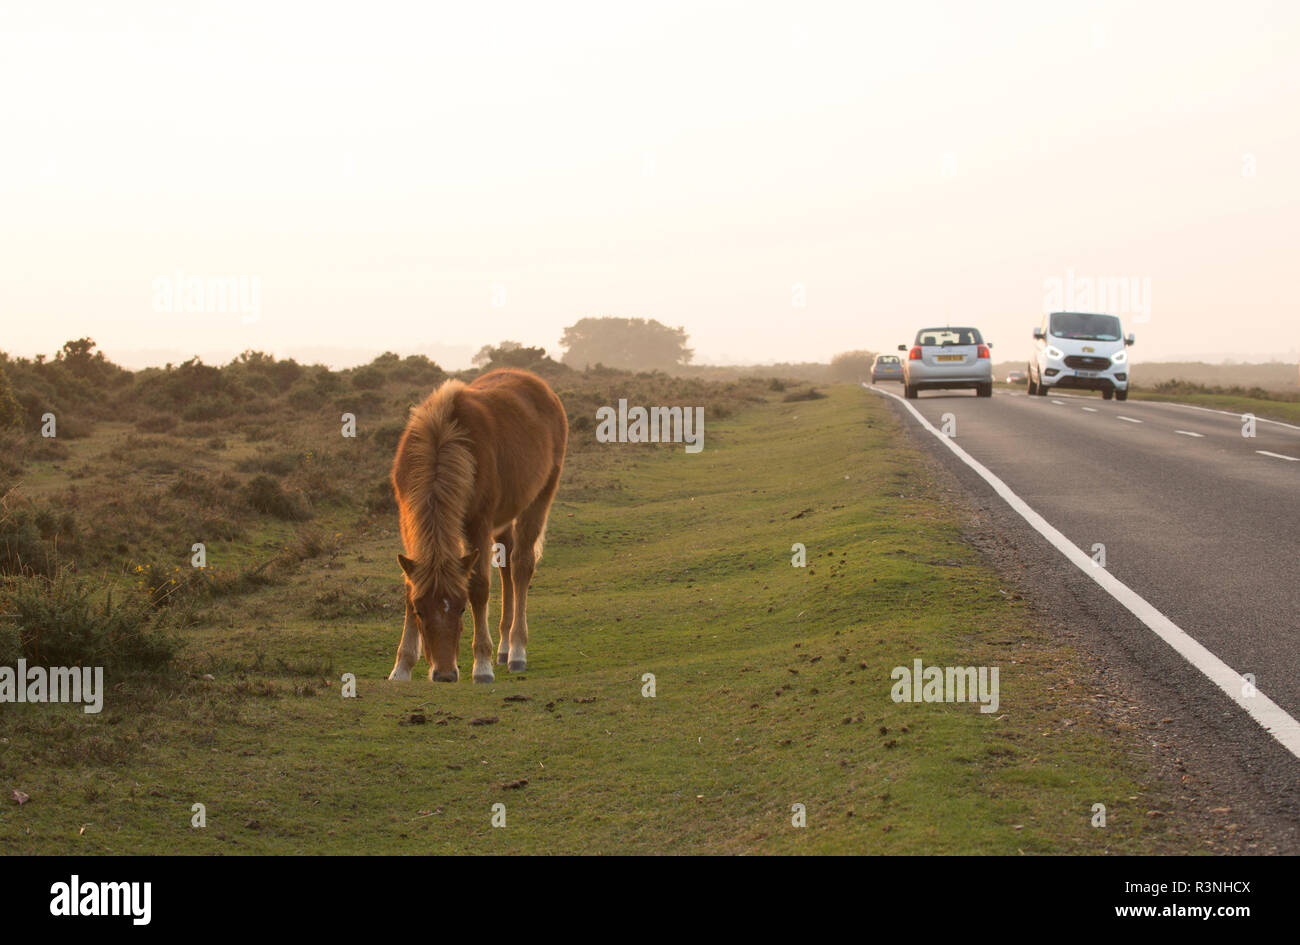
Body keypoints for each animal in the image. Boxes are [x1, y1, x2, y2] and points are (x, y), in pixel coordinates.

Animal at [387, 368, 567, 683]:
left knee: (521, 567)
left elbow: (480, 587)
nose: (444, 674)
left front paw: (481, 665)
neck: (442, 440)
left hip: (539, 498)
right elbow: (409, 586)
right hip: (504, 518)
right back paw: (505, 648)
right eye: (420, 611)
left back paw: (516, 650)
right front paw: (402, 666)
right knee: (507, 569)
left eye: (461, 608)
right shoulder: (407, 522)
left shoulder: (478, 525)